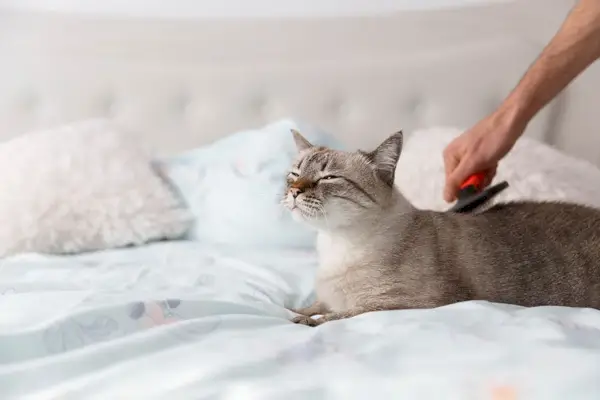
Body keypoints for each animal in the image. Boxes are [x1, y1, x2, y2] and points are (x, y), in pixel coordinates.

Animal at [284, 130, 600, 326]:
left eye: (328, 178)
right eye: (294, 174)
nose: (294, 191)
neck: (335, 243)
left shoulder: (398, 305)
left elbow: (337, 316)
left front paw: (304, 320)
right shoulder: (331, 299)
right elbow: (313, 306)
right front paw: (295, 310)